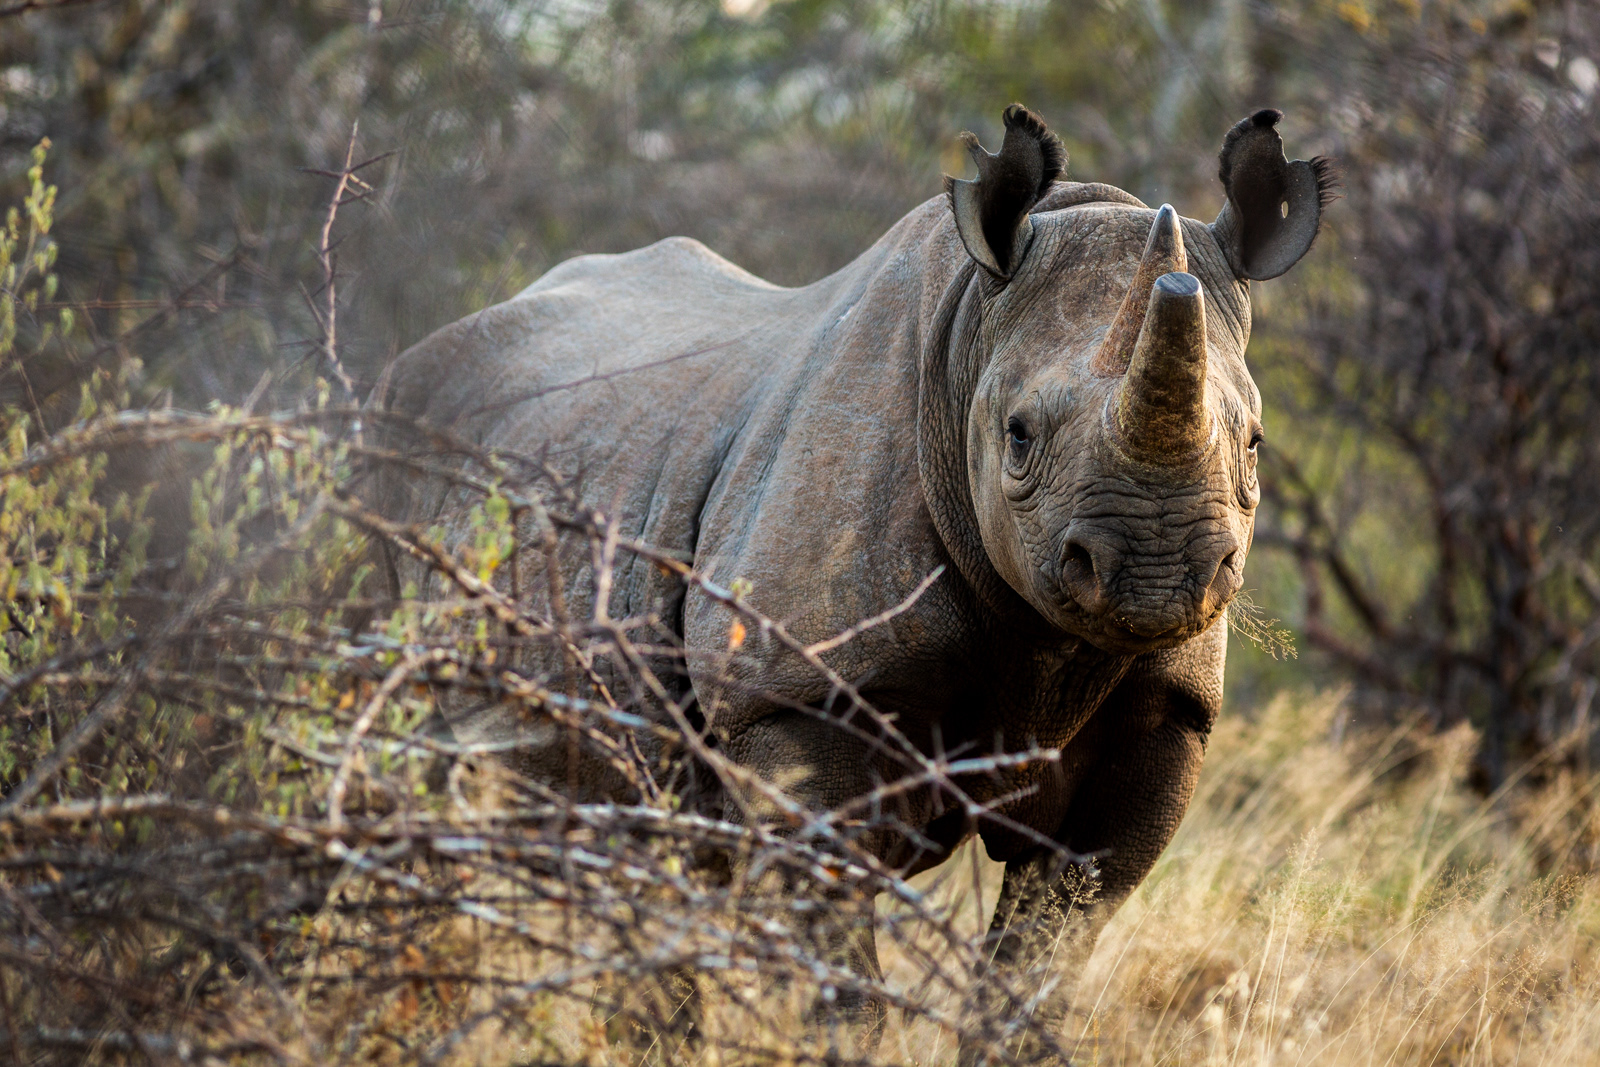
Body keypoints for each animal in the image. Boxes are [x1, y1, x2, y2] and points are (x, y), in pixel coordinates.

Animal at [380, 105, 1332, 1049]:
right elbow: (843, 967)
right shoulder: (792, 693)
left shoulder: (1166, 713)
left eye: (1254, 444)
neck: (968, 334)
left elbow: (1046, 953)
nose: (1158, 571)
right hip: (386, 470)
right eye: (1019, 436)